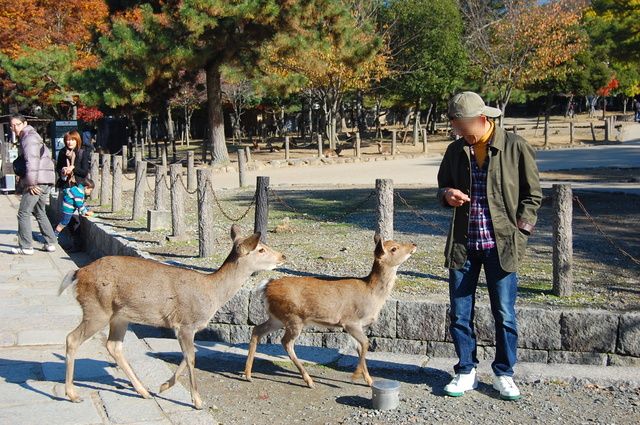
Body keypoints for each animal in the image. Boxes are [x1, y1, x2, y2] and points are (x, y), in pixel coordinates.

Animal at [59, 224, 284, 410]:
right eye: (261, 249)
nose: (282, 256)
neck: (212, 293)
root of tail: (78, 272)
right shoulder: (185, 323)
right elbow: (191, 357)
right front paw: (197, 401)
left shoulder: (186, 328)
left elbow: (188, 356)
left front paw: (163, 386)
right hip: (97, 308)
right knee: (72, 338)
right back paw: (72, 394)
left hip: (119, 316)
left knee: (113, 346)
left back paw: (143, 391)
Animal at [242, 235, 418, 388]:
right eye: (394, 248)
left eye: (395, 242)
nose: (414, 244)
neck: (372, 294)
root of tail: (266, 286)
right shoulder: (350, 321)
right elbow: (366, 344)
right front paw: (356, 376)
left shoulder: (357, 326)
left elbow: (359, 347)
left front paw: (369, 380)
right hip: (293, 317)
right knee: (286, 342)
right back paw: (309, 380)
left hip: (277, 317)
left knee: (256, 330)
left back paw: (248, 374)